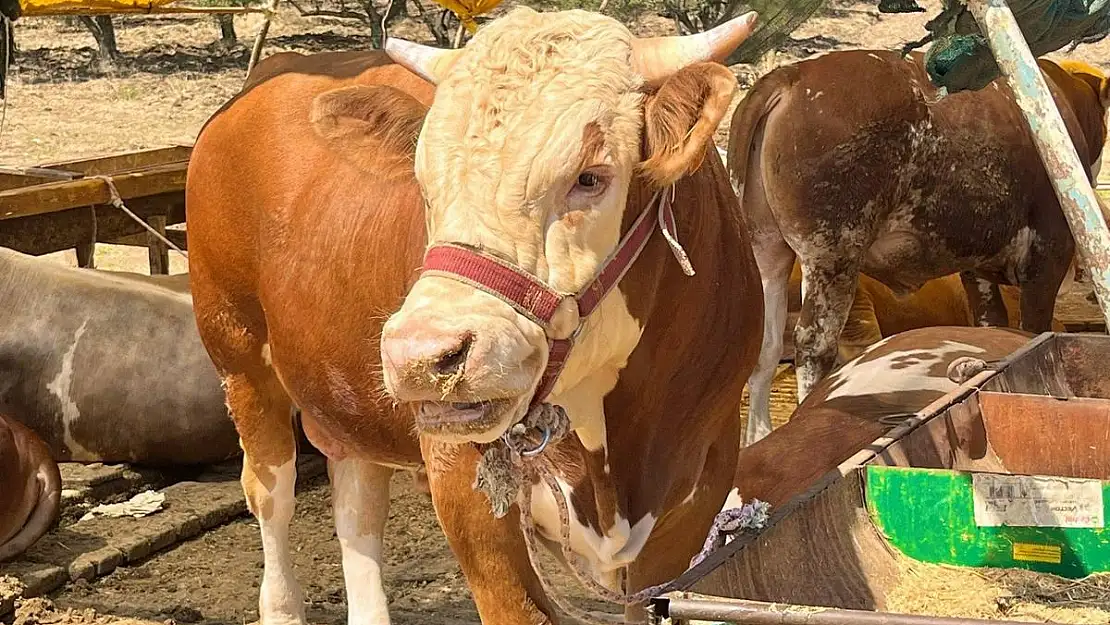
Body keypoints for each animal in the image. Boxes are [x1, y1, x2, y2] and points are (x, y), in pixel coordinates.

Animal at [186, 9, 768, 625]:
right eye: (423, 183)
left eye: (589, 177)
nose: (418, 356)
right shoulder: (467, 490)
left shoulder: (693, 498)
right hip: (240, 359)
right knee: (271, 494)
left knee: (357, 506)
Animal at [728, 50, 1110, 444]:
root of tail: (792, 75)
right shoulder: (1048, 256)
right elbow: (1032, 327)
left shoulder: (976, 266)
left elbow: (990, 325)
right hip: (832, 253)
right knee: (814, 345)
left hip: (766, 248)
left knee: (766, 345)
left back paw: (759, 436)